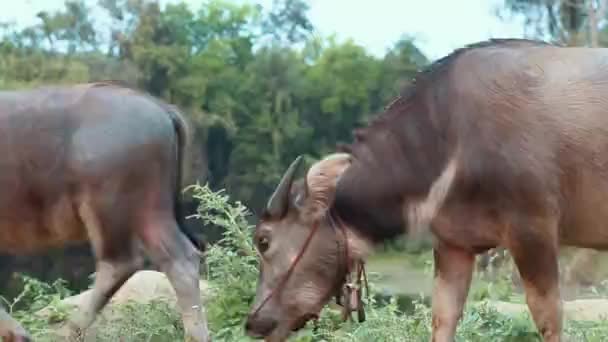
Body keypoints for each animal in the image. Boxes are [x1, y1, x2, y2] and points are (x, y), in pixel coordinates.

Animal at [243, 38, 608, 342]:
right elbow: (442, 319)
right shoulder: (452, 245)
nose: (253, 323)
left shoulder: (532, 231)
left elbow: (549, 318)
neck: (450, 140)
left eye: (263, 240)